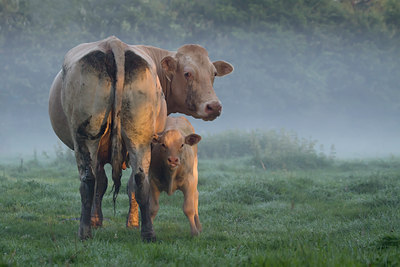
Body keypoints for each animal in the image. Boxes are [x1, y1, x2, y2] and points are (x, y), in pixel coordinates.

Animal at [48, 36, 233, 243]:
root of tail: (113, 43)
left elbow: (105, 184)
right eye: (187, 73)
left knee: (97, 180)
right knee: (129, 180)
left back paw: (94, 231)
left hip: (94, 137)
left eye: (214, 74)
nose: (214, 106)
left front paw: (109, 221)